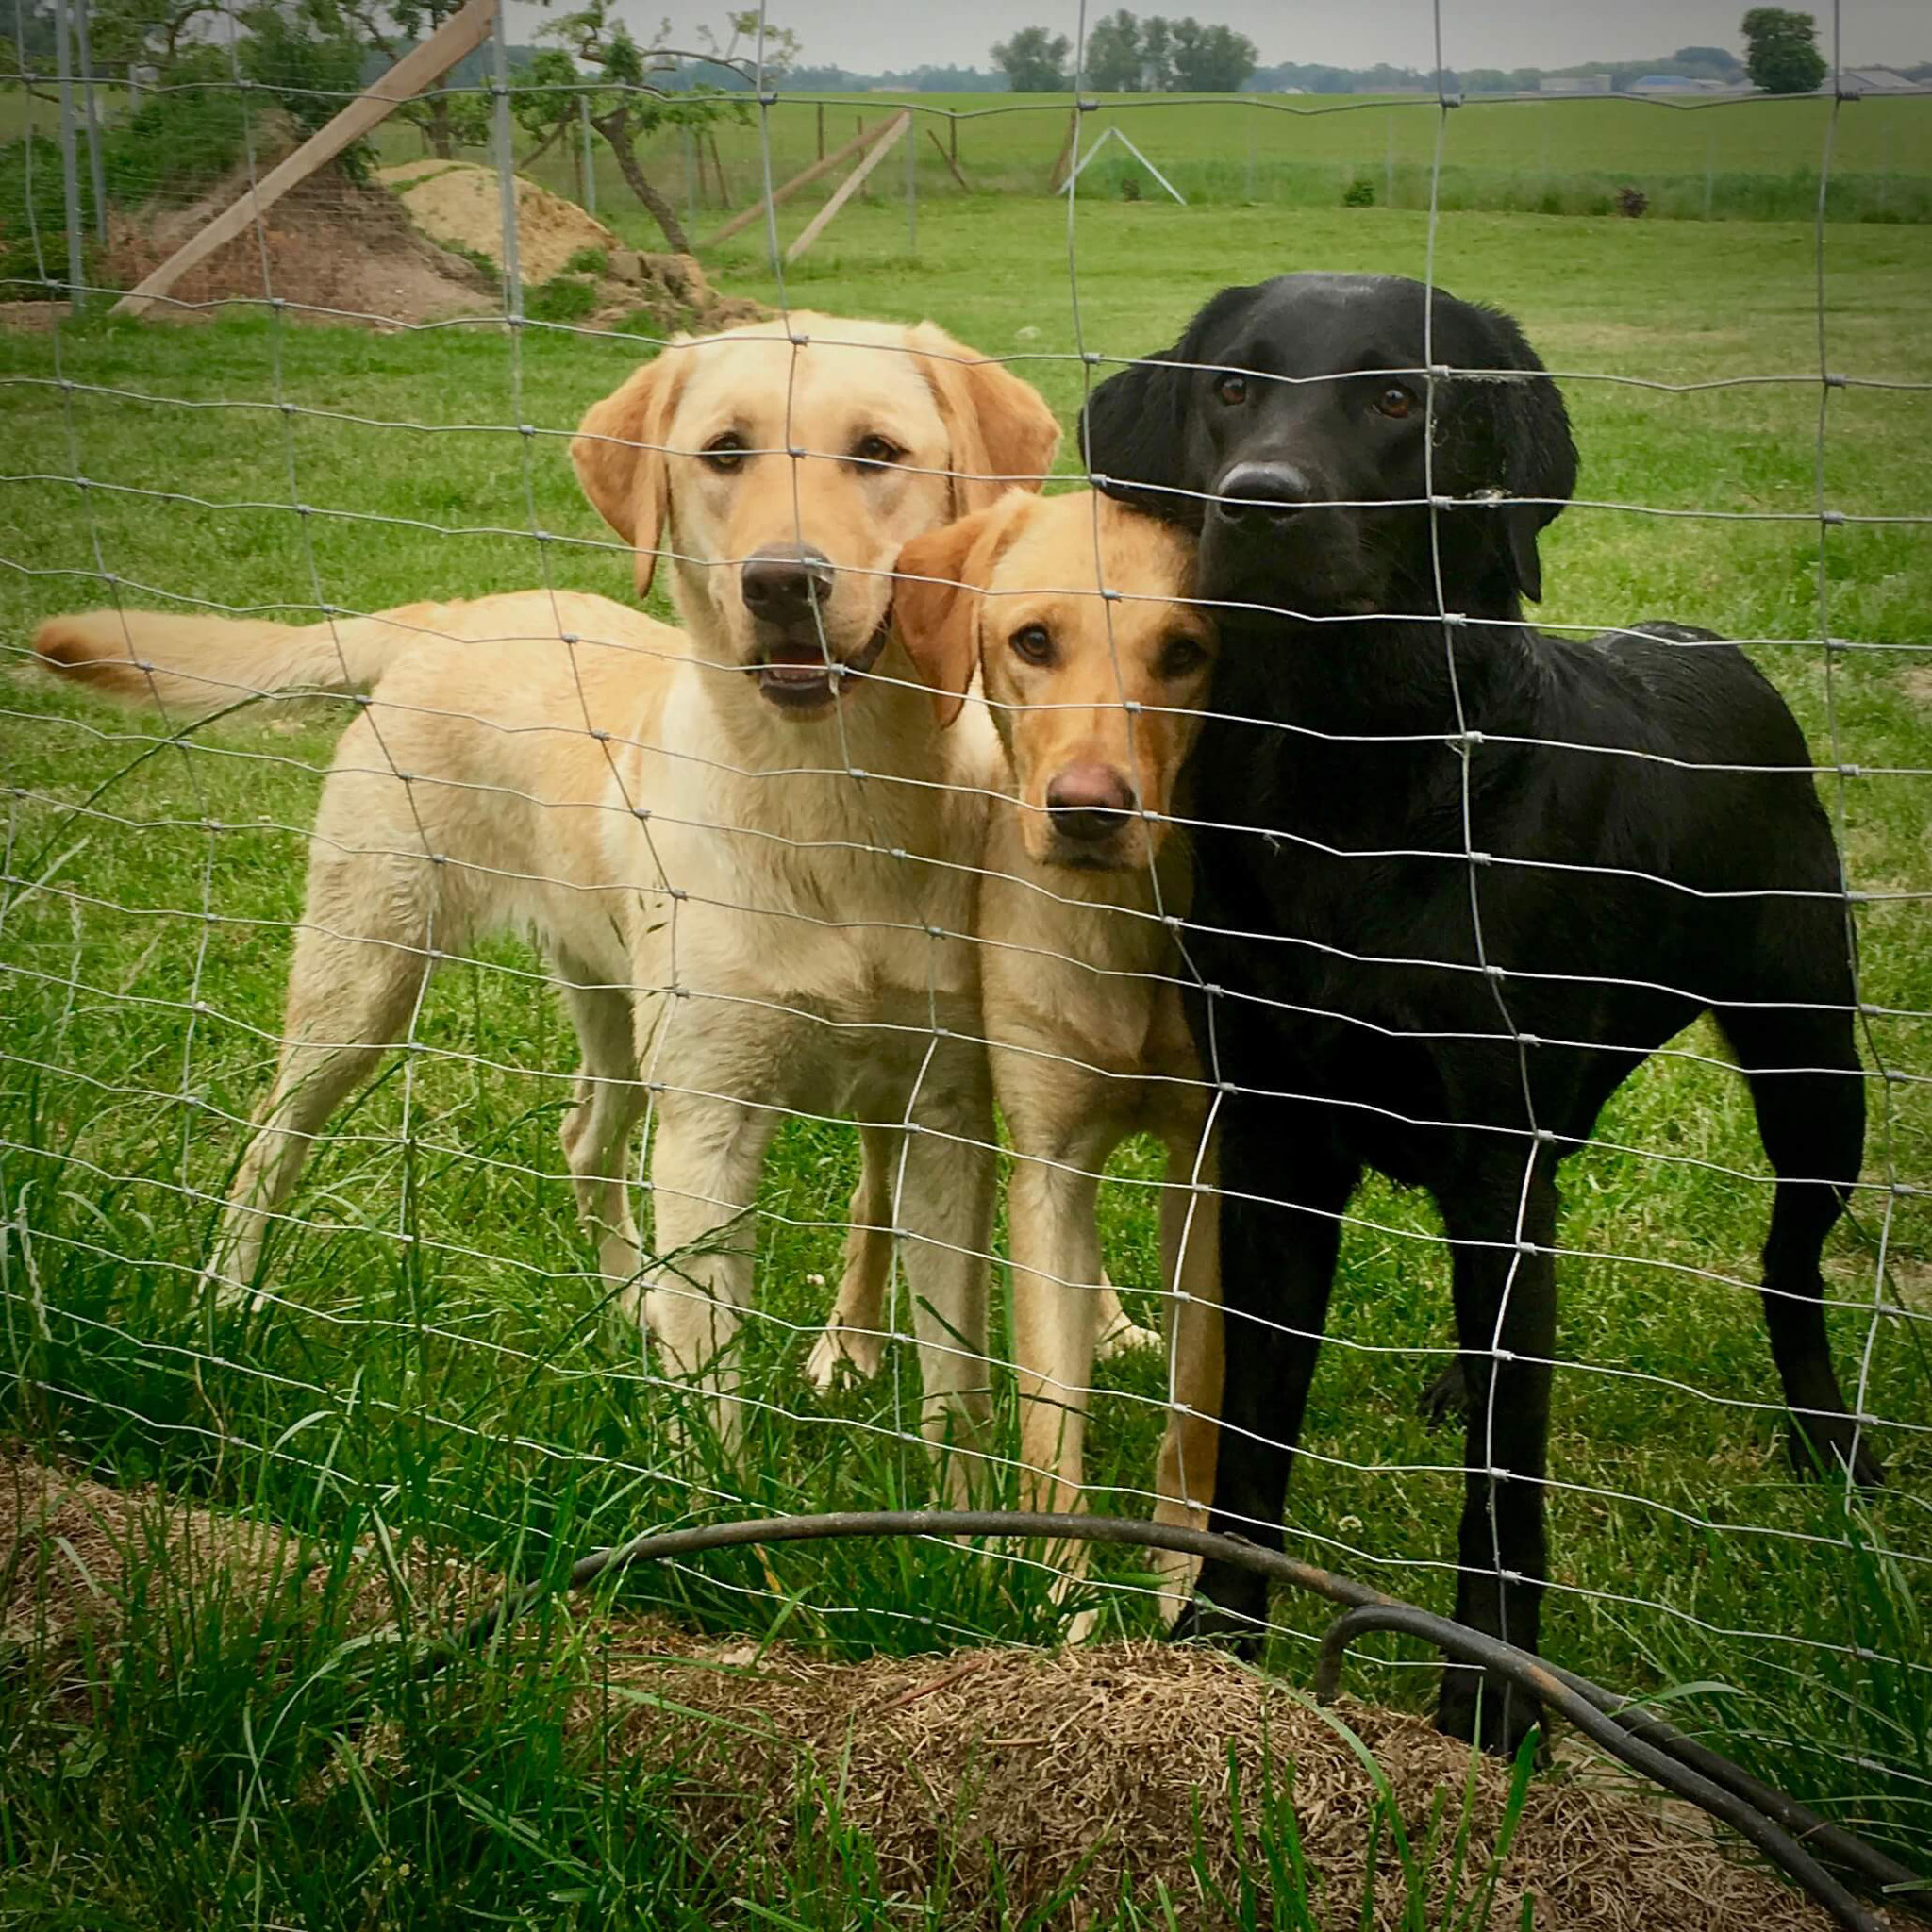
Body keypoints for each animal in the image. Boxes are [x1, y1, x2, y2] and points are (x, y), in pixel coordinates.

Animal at [830, 491, 1221, 1623]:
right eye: (1033, 641)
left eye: (1186, 653)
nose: (1088, 809)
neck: (1121, 921)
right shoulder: (1044, 1164)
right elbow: (1050, 1430)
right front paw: (1066, 1615)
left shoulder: (1209, 1164)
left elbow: (1197, 1410)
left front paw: (1182, 1592)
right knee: (876, 1195)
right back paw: (848, 1341)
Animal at [1081, 272, 1877, 1754]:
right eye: (1231, 387)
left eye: (1401, 398)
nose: (1261, 503)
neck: (1347, 791)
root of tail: (1714, 648)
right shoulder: (1273, 1148)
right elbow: (1253, 1433)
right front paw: (1219, 1638)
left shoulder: (1496, 1157)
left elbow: (1508, 1475)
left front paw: (1490, 1699)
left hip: (1813, 1067)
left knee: (1787, 1266)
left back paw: (1829, 1442)